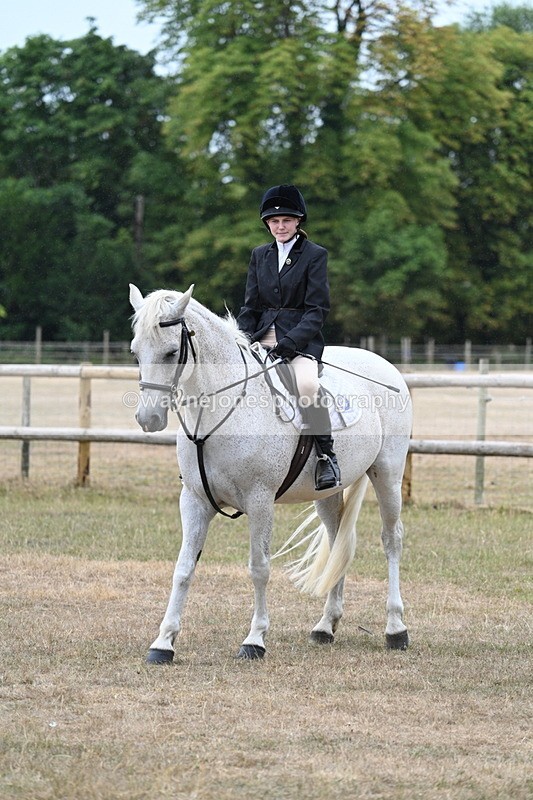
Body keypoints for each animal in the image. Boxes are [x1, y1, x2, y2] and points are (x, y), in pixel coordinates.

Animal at [129, 283, 413, 663]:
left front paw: (255, 640)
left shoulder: (260, 501)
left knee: (391, 539)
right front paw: (163, 643)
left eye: (172, 351)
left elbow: (259, 568)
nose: (148, 419)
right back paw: (325, 626)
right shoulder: (194, 501)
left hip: (388, 475)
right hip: (328, 493)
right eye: (135, 352)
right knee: (339, 541)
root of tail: (384, 364)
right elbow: (183, 569)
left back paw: (396, 629)